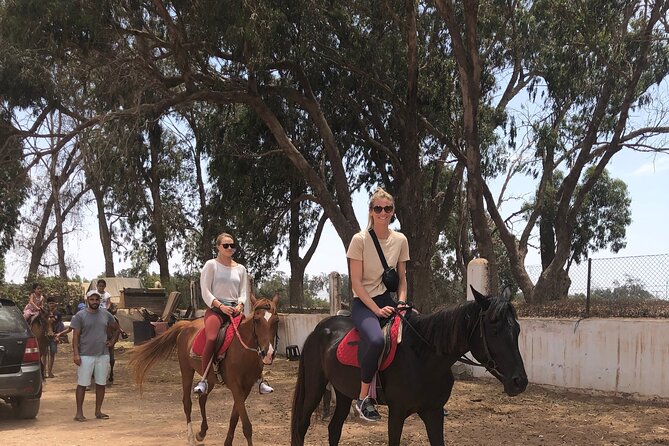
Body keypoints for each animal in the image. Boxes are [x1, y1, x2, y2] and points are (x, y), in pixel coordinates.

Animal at [130, 294, 280, 444]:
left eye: (276, 321)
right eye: (256, 320)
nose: (268, 353)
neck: (243, 350)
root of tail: (186, 325)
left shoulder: (246, 388)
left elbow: (234, 418)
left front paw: (227, 442)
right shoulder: (236, 387)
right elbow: (247, 426)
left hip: (210, 378)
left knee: (202, 399)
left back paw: (201, 433)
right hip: (186, 371)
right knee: (187, 403)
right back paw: (191, 438)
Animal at [290, 288, 528, 444]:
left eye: (517, 330)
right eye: (494, 331)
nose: (520, 382)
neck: (423, 359)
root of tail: (320, 328)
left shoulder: (433, 413)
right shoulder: (397, 413)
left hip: (343, 393)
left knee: (334, 428)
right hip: (314, 388)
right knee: (302, 427)